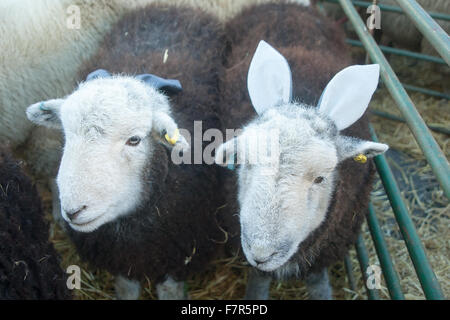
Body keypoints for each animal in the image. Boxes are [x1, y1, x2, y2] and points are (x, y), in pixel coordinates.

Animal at [24, 3, 237, 300]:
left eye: (134, 140)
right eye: (65, 133)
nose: (73, 211)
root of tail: (170, 7)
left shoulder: (182, 250)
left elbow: (170, 290)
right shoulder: (119, 257)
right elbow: (126, 288)